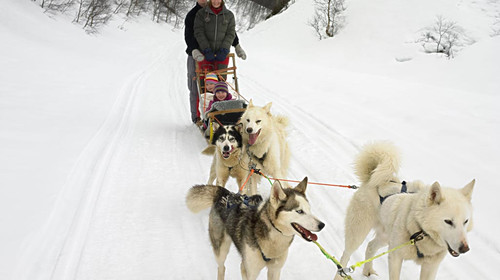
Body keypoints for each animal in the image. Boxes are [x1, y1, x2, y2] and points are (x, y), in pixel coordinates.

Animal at [187, 177, 324, 280]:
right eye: (299, 211)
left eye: (309, 210)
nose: (322, 225)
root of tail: (226, 194)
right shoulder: (248, 271)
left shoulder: (275, 270)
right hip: (221, 249)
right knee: (221, 267)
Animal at [336, 142, 472, 280]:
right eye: (448, 221)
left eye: (465, 221)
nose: (465, 248)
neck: (420, 230)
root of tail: (372, 179)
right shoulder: (395, 256)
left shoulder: (430, 267)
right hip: (358, 233)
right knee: (345, 255)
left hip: (385, 237)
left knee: (370, 246)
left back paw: (367, 270)